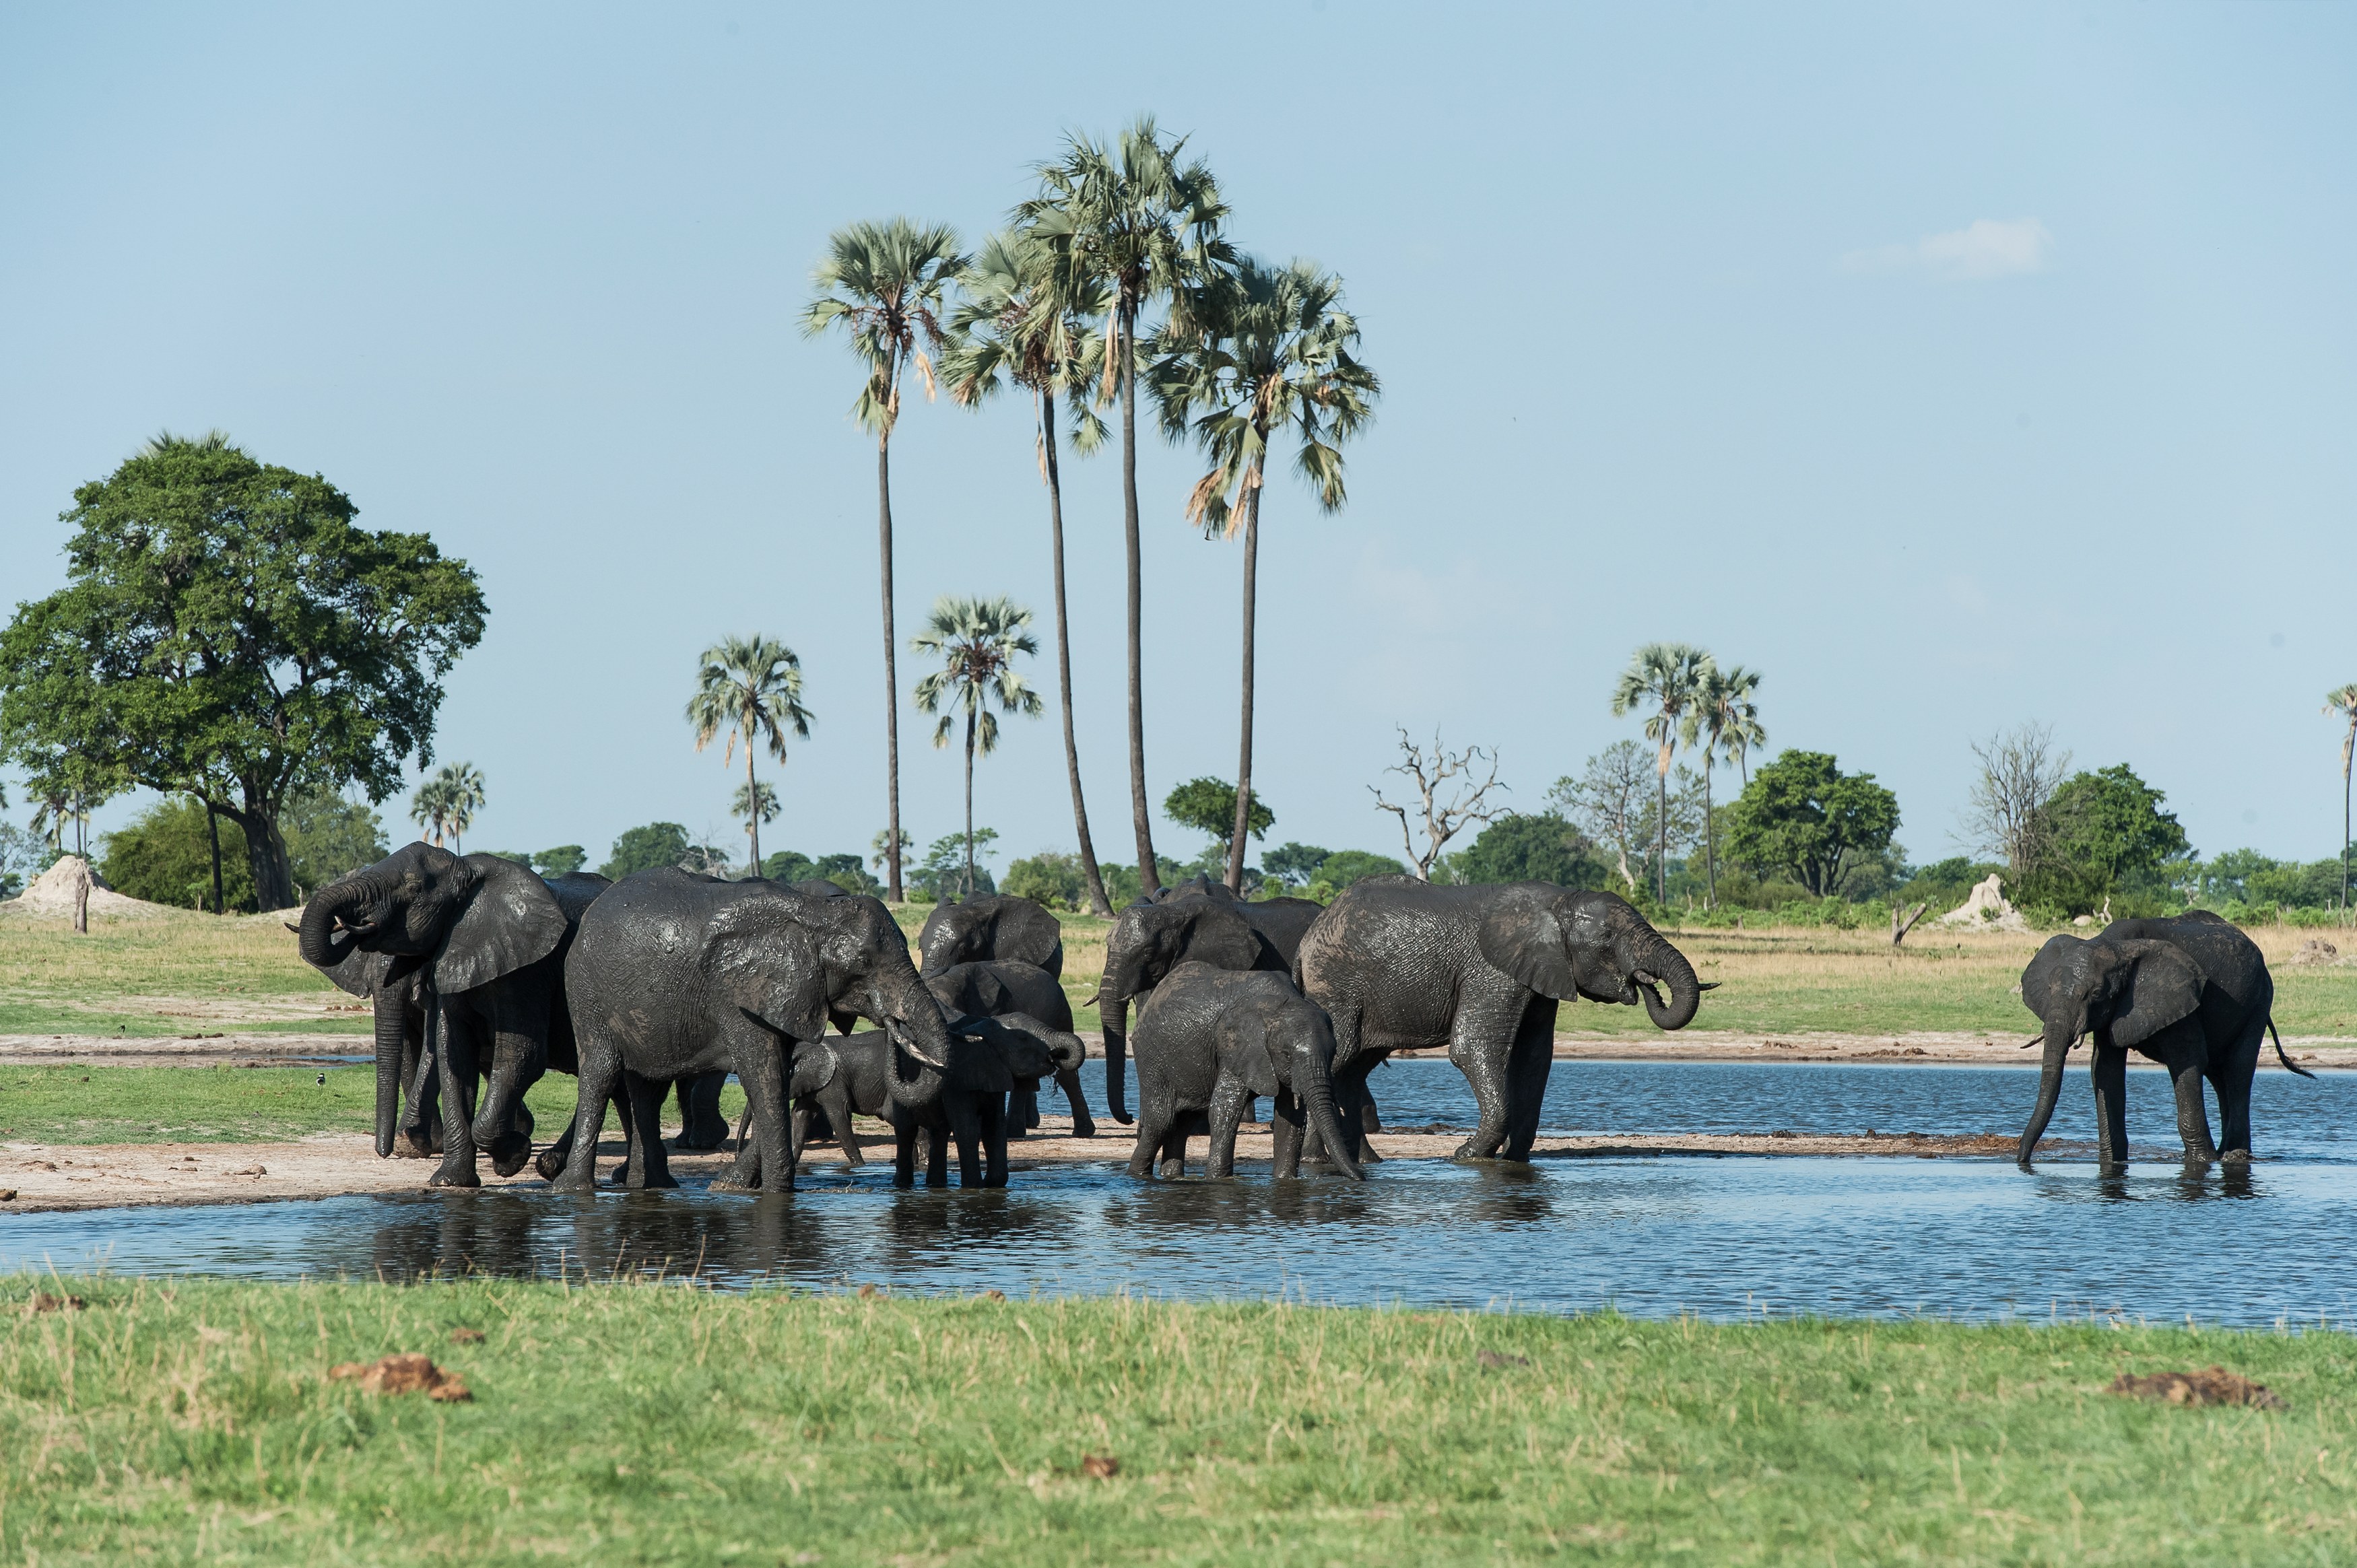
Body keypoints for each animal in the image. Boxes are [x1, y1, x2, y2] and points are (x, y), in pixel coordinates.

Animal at [297, 845, 609, 1186]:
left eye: (413, 888)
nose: (383, 1152)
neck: (466, 870)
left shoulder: (528, 971)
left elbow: (519, 1055)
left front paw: (512, 1156)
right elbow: (452, 1055)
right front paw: (449, 1180)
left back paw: (547, 1162)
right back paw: (548, 1161)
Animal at [557, 870, 953, 1195]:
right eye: (863, 961)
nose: (893, 1022)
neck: (814, 914)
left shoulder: (790, 995)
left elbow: (778, 1077)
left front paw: (729, 1186)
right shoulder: (737, 993)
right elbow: (763, 1075)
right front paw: (776, 1192)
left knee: (648, 1089)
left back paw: (654, 1187)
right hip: (585, 988)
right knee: (601, 1072)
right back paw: (573, 1189)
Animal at [1125, 962, 1363, 1182]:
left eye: (1333, 1053)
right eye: (1287, 1054)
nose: (1362, 1178)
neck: (1277, 1005)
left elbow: (1291, 1119)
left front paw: (1284, 1180)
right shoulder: (1237, 1047)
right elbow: (1224, 1110)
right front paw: (1218, 1180)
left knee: (1183, 1122)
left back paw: (1171, 1177)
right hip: (1152, 1057)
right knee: (1161, 1122)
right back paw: (1137, 1176)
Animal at [1297, 877, 1707, 1164]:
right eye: (1608, 937)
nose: (1645, 982)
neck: (1558, 902)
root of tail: (1306, 940)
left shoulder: (1541, 974)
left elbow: (1534, 1058)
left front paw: (1512, 1159)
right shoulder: (1491, 971)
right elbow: (1473, 1048)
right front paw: (1467, 1156)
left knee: (1353, 1068)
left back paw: (1360, 1162)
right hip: (1337, 988)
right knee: (1339, 1058)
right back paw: (1319, 1162)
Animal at [2016, 909, 2313, 1172]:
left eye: (2097, 993)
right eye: (2050, 988)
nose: (2023, 1161)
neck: (2112, 944)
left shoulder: (2181, 994)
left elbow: (2187, 1061)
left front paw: (2202, 1162)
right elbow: (2105, 1071)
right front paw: (2113, 1162)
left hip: (2260, 1001)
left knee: (2238, 1071)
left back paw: (2234, 1155)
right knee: (2219, 1075)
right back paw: (2228, 1153)